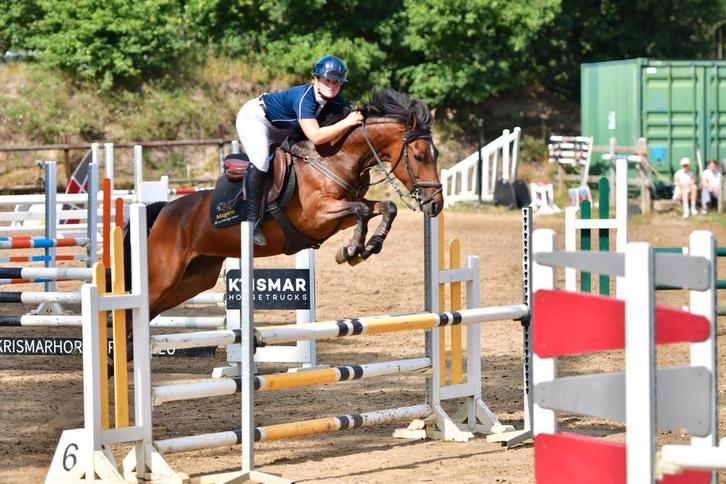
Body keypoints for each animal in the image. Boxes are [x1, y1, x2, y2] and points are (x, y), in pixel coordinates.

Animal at [128, 89, 443, 320]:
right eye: (418, 156)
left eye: (436, 154)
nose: (436, 204)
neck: (334, 158)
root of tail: (166, 209)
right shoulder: (317, 216)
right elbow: (363, 211)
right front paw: (352, 250)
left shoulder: (341, 213)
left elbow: (385, 208)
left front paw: (367, 247)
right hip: (163, 275)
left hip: (194, 279)